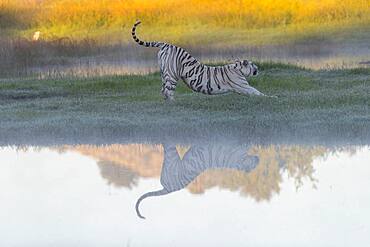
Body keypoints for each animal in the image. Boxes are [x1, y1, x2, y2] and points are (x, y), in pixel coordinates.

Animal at [132, 20, 268, 100]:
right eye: (253, 65)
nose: (257, 68)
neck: (237, 68)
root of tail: (166, 44)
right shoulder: (243, 86)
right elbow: (258, 92)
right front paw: (270, 97)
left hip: (163, 72)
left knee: (163, 90)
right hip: (172, 75)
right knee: (168, 91)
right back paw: (173, 104)